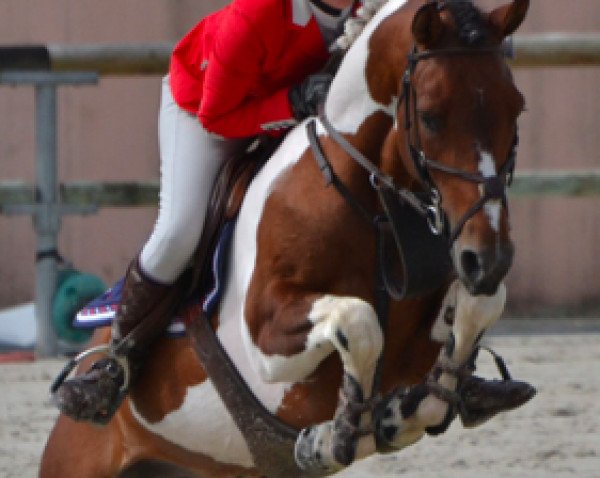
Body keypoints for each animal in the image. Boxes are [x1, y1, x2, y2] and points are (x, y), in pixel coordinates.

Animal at [39, 1, 528, 476]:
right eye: (430, 117)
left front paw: (399, 413)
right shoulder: (265, 336)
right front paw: (333, 439)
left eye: (517, 109)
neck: (370, 201)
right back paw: (97, 383)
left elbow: (480, 305)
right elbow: (360, 320)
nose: (489, 259)